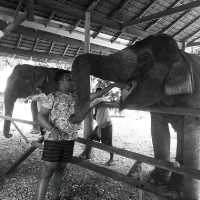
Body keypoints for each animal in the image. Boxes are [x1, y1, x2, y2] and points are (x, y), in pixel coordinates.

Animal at [69, 33, 200, 199]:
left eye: (145, 58)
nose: (71, 117)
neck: (182, 55)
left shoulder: (194, 103)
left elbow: (191, 137)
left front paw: (182, 193)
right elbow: (158, 130)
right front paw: (155, 182)